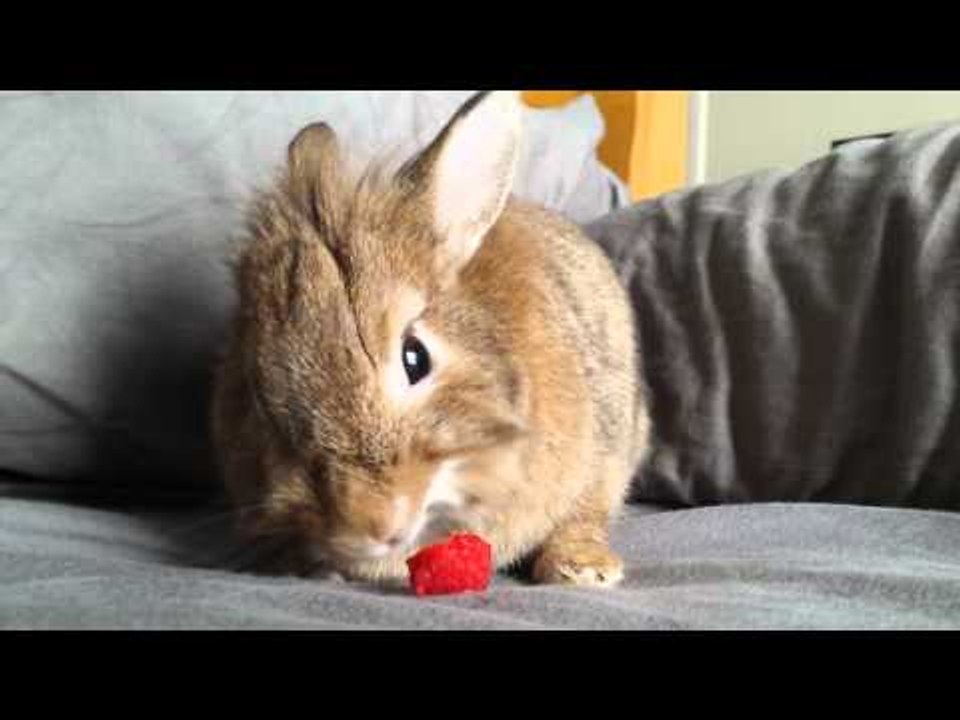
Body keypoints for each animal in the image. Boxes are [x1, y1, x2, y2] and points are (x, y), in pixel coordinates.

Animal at [211, 91, 650, 588]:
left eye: (415, 357)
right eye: (256, 394)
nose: (373, 522)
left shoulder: (602, 454)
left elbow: (584, 512)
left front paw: (581, 569)